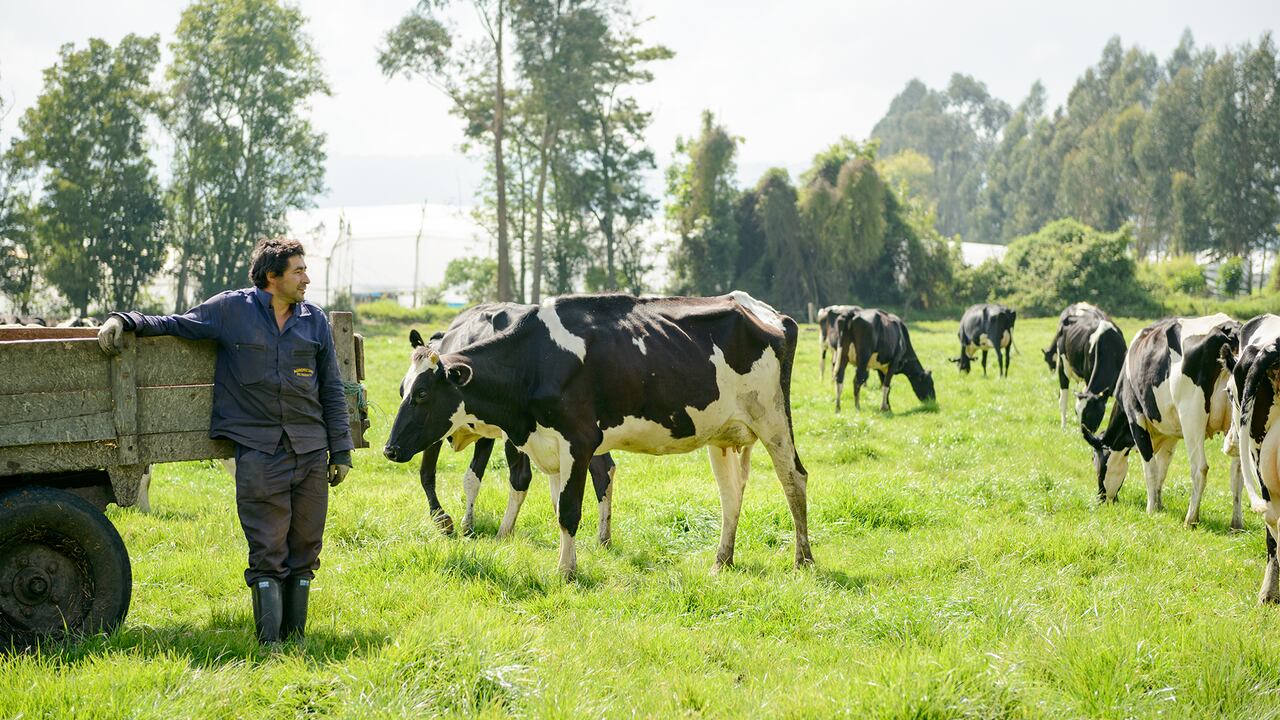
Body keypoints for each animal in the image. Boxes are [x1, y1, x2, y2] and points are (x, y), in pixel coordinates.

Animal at [409, 303, 618, 543]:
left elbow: (428, 473)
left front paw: (446, 521)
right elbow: (472, 478)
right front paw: (465, 524)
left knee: (524, 477)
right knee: (604, 469)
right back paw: (603, 537)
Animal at [1044, 302, 1126, 432]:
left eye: (1089, 413)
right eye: (1076, 412)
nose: (1083, 433)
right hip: (1063, 365)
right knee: (1063, 400)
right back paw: (1063, 427)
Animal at [1081, 313, 1244, 530]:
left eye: (1094, 459)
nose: (1102, 499)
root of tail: (1228, 328)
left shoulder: (1136, 418)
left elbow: (1150, 468)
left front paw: (1151, 509)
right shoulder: (1170, 432)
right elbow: (1162, 469)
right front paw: (1159, 505)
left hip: (1192, 417)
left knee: (1200, 468)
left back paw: (1191, 519)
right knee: (1238, 473)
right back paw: (1236, 524)